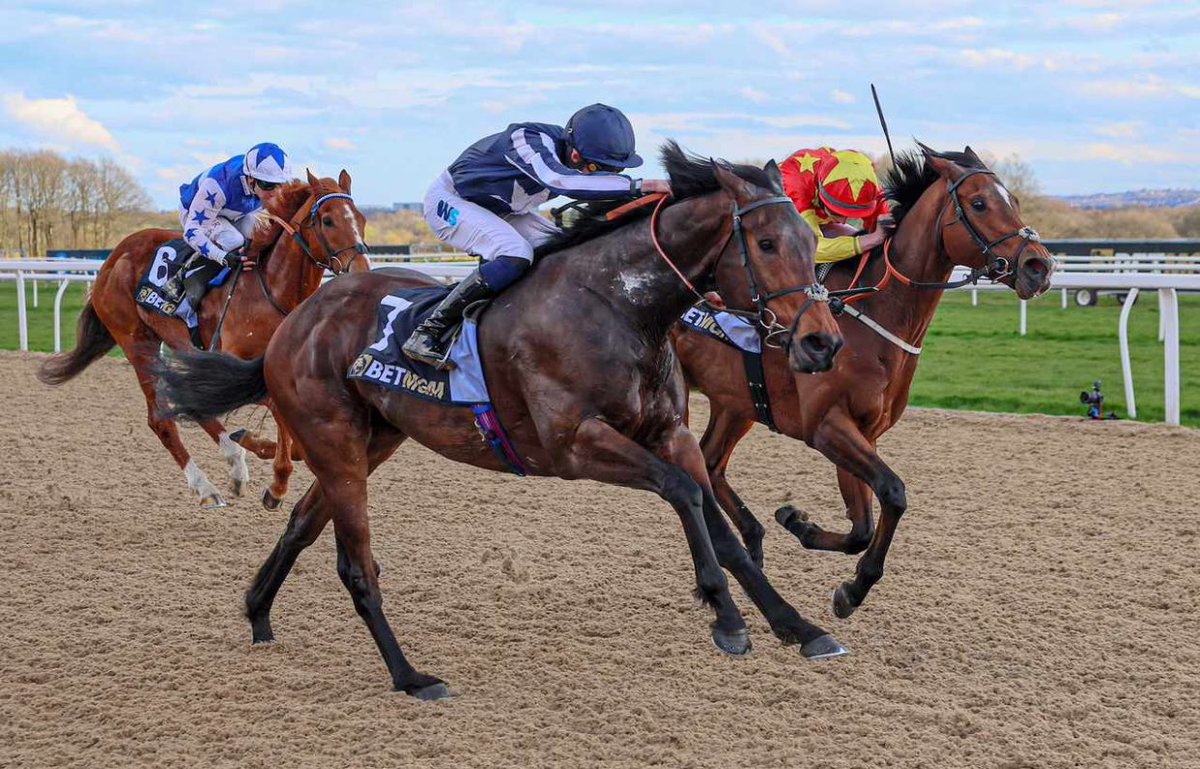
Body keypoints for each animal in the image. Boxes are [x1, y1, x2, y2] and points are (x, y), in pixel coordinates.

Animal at [37, 170, 369, 508]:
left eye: (361, 218)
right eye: (327, 220)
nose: (361, 270)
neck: (272, 289)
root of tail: (113, 258)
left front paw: (272, 476)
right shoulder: (238, 368)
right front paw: (269, 468)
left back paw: (234, 464)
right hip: (137, 342)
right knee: (161, 420)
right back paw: (207, 485)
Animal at [153, 142, 847, 698]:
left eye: (813, 242)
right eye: (765, 243)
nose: (822, 343)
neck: (620, 306)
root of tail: (292, 326)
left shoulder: (669, 433)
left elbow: (719, 526)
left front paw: (799, 627)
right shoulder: (574, 446)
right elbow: (684, 494)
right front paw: (726, 618)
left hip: (370, 442)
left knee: (301, 521)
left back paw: (257, 611)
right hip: (336, 442)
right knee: (357, 566)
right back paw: (411, 676)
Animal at [673, 143, 1056, 619]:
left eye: (1015, 200)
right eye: (980, 203)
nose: (1040, 267)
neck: (872, 317)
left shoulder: (862, 433)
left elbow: (861, 526)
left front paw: (800, 526)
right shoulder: (826, 426)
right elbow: (893, 492)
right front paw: (851, 586)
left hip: (736, 402)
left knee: (710, 462)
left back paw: (753, 542)